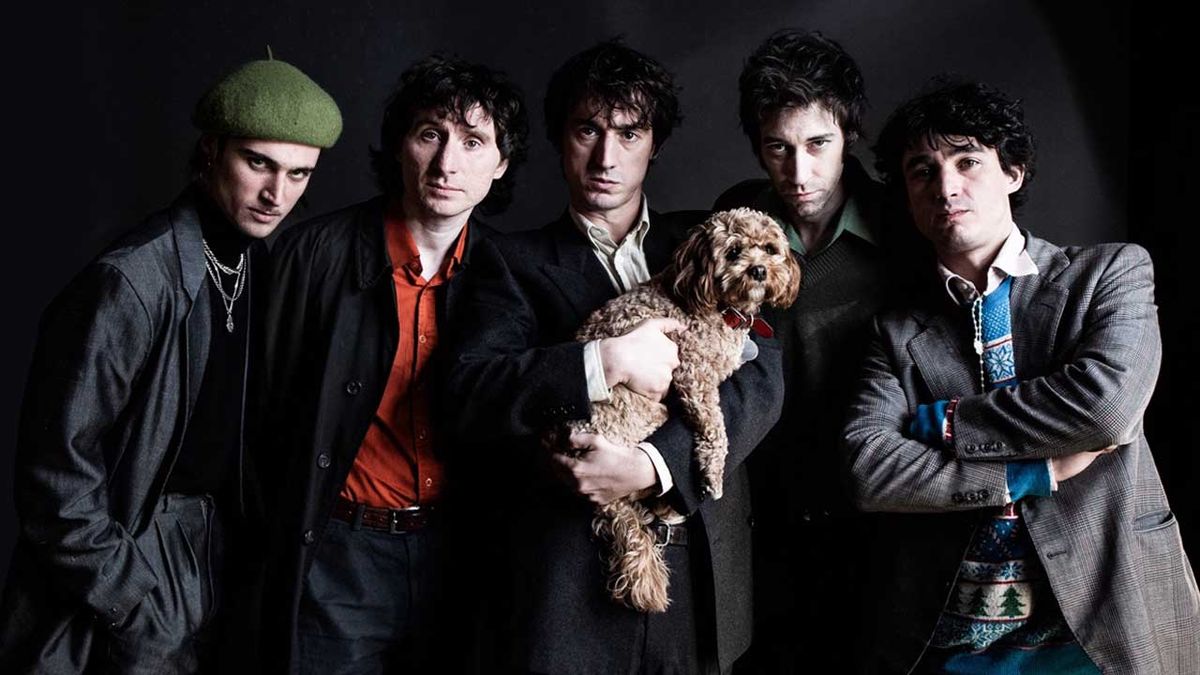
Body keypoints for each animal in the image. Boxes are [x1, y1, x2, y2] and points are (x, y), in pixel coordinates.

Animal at [559, 207, 796, 612]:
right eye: (733, 252)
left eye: (769, 248)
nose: (759, 270)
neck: (716, 304)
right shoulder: (692, 375)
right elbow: (715, 428)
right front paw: (712, 475)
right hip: (647, 417)